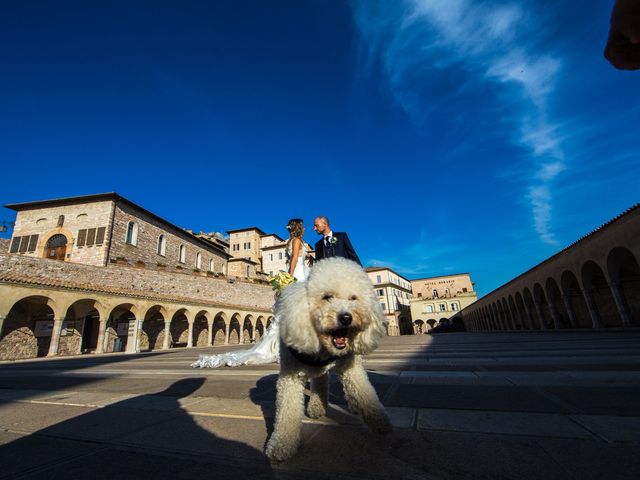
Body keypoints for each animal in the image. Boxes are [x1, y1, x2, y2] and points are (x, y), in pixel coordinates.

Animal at [264, 258, 390, 462]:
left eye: (353, 298)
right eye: (327, 297)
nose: (346, 317)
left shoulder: (351, 367)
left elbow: (364, 391)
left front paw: (379, 421)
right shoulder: (289, 377)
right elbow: (287, 411)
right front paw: (281, 444)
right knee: (320, 378)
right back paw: (317, 406)